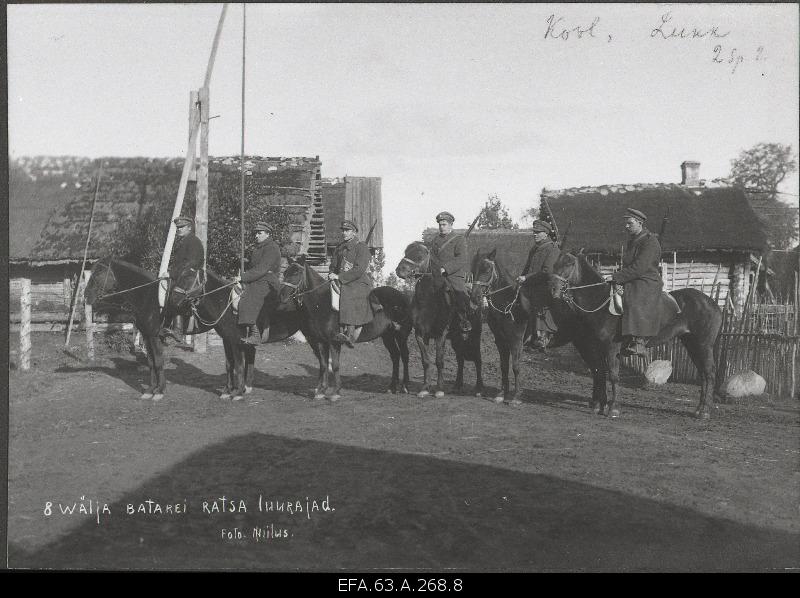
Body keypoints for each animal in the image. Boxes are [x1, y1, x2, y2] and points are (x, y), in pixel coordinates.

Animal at [83, 258, 168, 404]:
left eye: (99, 272)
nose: (86, 294)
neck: (148, 296)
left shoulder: (154, 336)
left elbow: (158, 361)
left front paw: (159, 391)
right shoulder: (146, 335)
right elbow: (151, 362)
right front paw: (150, 390)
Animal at [167, 268, 302, 404]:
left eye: (189, 279)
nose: (172, 301)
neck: (225, 304)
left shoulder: (237, 342)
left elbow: (239, 366)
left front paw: (238, 392)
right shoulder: (227, 340)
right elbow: (229, 365)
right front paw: (227, 390)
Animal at [280, 254, 412, 404]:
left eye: (296, 272)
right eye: (285, 272)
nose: (282, 296)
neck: (321, 303)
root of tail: (403, 296)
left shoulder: (334, 341)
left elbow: (335, 365)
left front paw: (336, 392)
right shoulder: (320, 341)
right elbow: (323, 365)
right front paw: (321, 391)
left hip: (401, 334)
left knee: (405, 355)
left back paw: (405, 386)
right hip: (387, 335)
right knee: (395, 356)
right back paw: (391, 387)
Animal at [396, 241, 482, 400]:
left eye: (419, 256)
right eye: (405, 252)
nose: (400, 270)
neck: (429, 301)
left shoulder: (440, 335)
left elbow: (439, 361)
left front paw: (439, 389)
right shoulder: (420, 335)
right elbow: (426, 361)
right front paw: (425, 388)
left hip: (474, 336)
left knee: (478, 360)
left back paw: (479, 389)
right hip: (456, 339)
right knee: (460, 359)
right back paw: (457, 386)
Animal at [532, 253, 724, 422]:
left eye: (569, 264)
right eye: (555, 264)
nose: (553, 290)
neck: (599, 303)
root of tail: (712, 303)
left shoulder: (611, 348)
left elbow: (613, 375)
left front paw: (613, 408)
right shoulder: (596, 348)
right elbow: (599, 373)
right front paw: (599, 405)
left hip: (703, 345)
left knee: (709, 372)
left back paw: (705, 412)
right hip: (692, 344)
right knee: (703, 374)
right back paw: (699, 409)